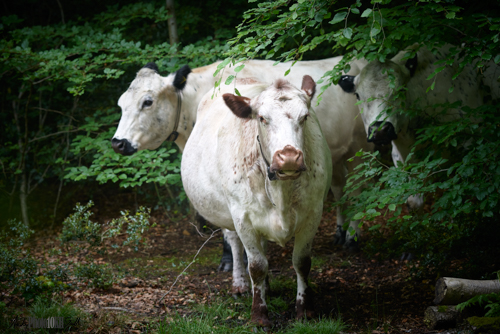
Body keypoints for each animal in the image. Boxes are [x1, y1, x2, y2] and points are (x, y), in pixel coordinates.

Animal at [182, 76, 330, 326]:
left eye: (304, 117)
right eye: (262, 118)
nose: (289, 157)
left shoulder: (313, 213)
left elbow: (301, 262)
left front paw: (304, 310)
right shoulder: (243, 217)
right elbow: (257, 266)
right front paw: (259, 316)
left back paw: (265, 288)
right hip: (227, 213)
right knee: (234, 243)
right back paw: (241, 285)